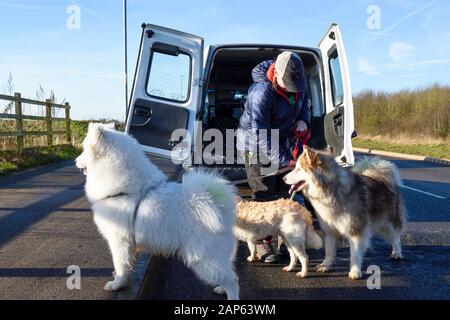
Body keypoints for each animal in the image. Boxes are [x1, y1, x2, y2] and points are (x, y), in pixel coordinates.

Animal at [75, 123, 241, 300]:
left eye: (84, 150)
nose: (75, 160)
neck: (126, 190)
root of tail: (216, 203)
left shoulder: (119, 240)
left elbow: (120, 264)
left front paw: (116, 284)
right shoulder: (130, 243)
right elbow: (127, 265)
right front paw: (123, 279)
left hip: (204, 258)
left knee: (232, 280)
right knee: (229, 273)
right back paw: (221, 289)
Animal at [284, 148, 408, 280]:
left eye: (298, 169)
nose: (283, 178)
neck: (330, 191)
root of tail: (383, 178)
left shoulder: (355, 229)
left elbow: (355, 254)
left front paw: (355, 271)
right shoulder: (329, 230)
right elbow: (329, 251)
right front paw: (325, 265)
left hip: (389, 222)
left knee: (395, 237)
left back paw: (397, 253)